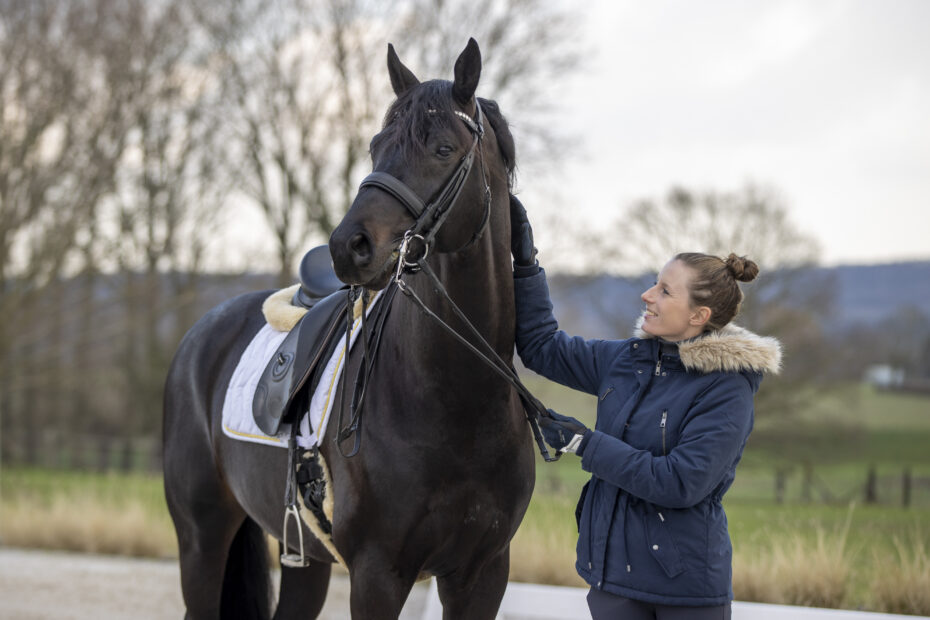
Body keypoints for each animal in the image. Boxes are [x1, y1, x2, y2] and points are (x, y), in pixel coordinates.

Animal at [163, 40, 532, 620]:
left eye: (444, 148)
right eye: (376, 147)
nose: (347, 246)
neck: (460, 402)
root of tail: (200, 336)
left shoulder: (482, 575)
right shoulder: (377, 574)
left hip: (304, 557)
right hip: (201, 539)